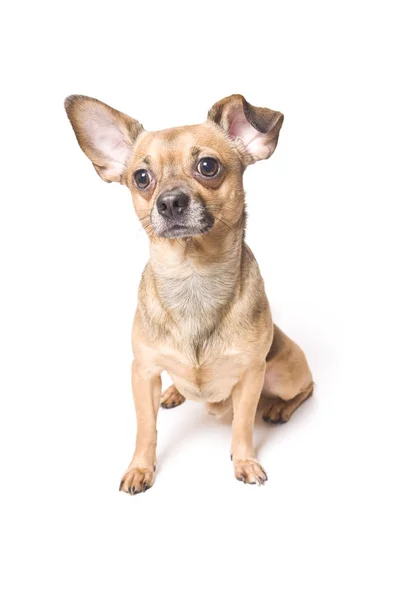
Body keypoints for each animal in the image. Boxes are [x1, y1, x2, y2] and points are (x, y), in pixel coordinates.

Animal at [65, 92, 314, 492]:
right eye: (141, 178)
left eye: (208, 166)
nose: (169, 202)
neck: (193, 275)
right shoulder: (144, 372)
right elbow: (145, 429)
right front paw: (140, 467)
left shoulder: (251, 377)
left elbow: (242, 425)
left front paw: (245, 461)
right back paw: (174, 392)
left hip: (285, 375)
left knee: (306, 389)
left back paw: (278, 408)